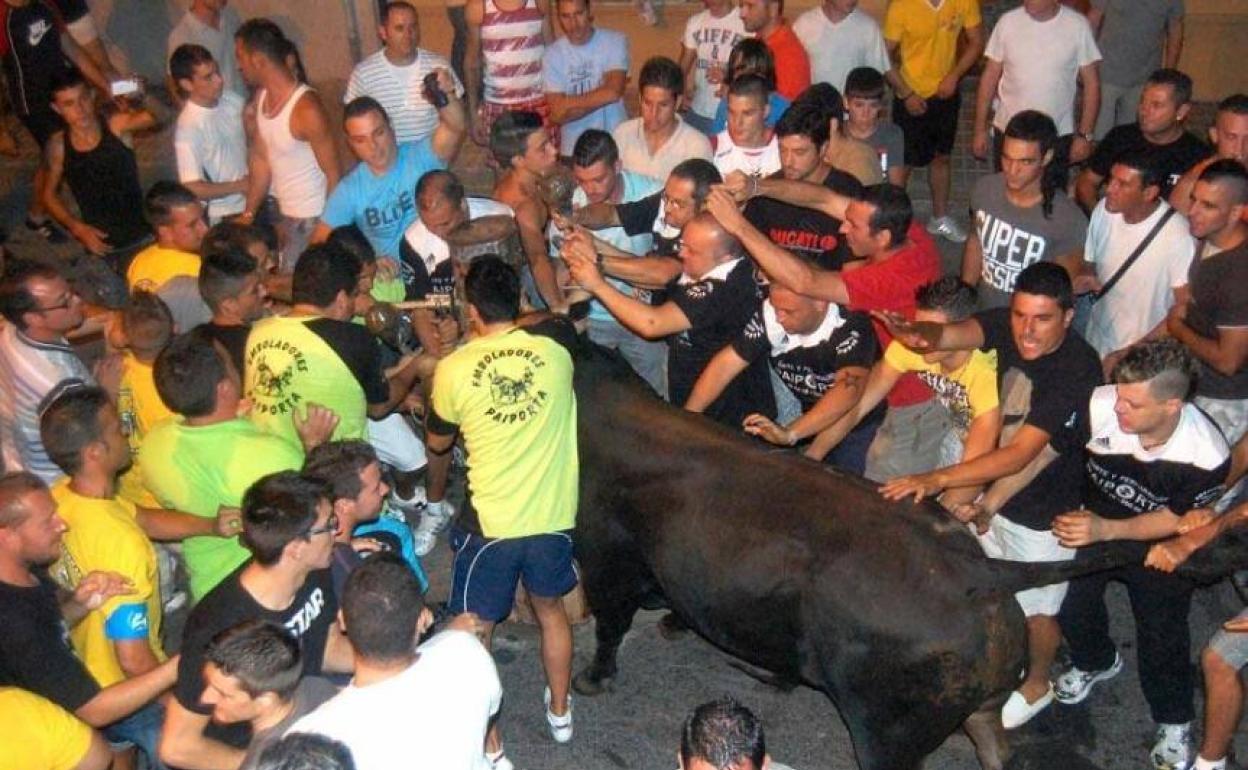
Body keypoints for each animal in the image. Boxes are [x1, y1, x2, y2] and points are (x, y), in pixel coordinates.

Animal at [569, 341, 1248, 768]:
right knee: (995, 749)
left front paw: (592, 678)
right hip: (978, 706)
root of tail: (981, 570)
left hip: (886, 731)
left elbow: (609, 623)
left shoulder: (605, 557)